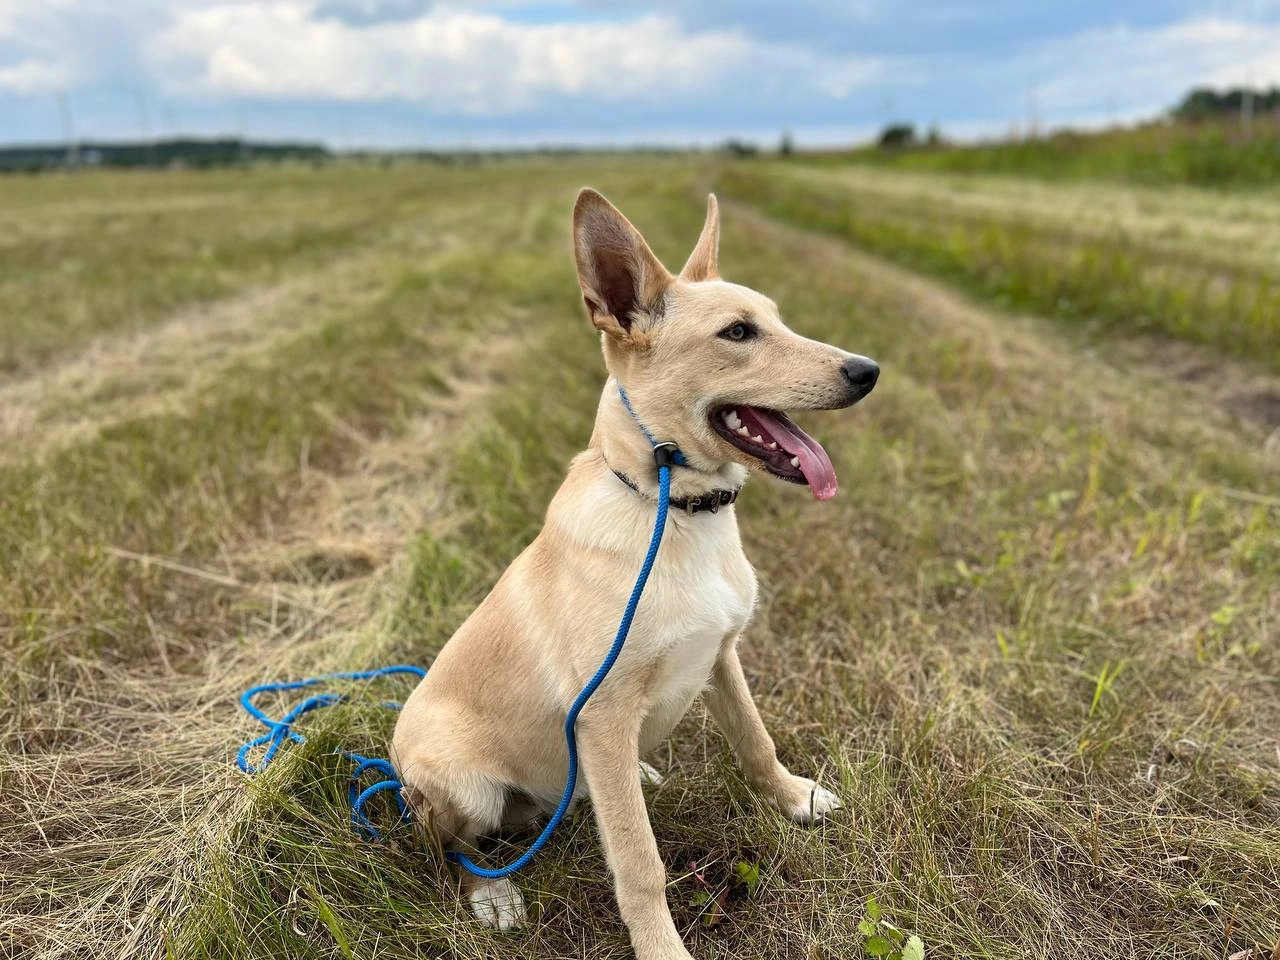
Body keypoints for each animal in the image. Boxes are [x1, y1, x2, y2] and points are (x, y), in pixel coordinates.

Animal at [391, 189, 880, 960]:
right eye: (737, 333)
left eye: (776, 318)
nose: (867, 371)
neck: (673, 509)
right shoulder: (602, 712)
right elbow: (640, 861)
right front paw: (662, 948)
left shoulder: (721, 656)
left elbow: (756, 741)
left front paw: (793, 797)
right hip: (462, 787)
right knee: (451, 852)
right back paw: (493, 894)